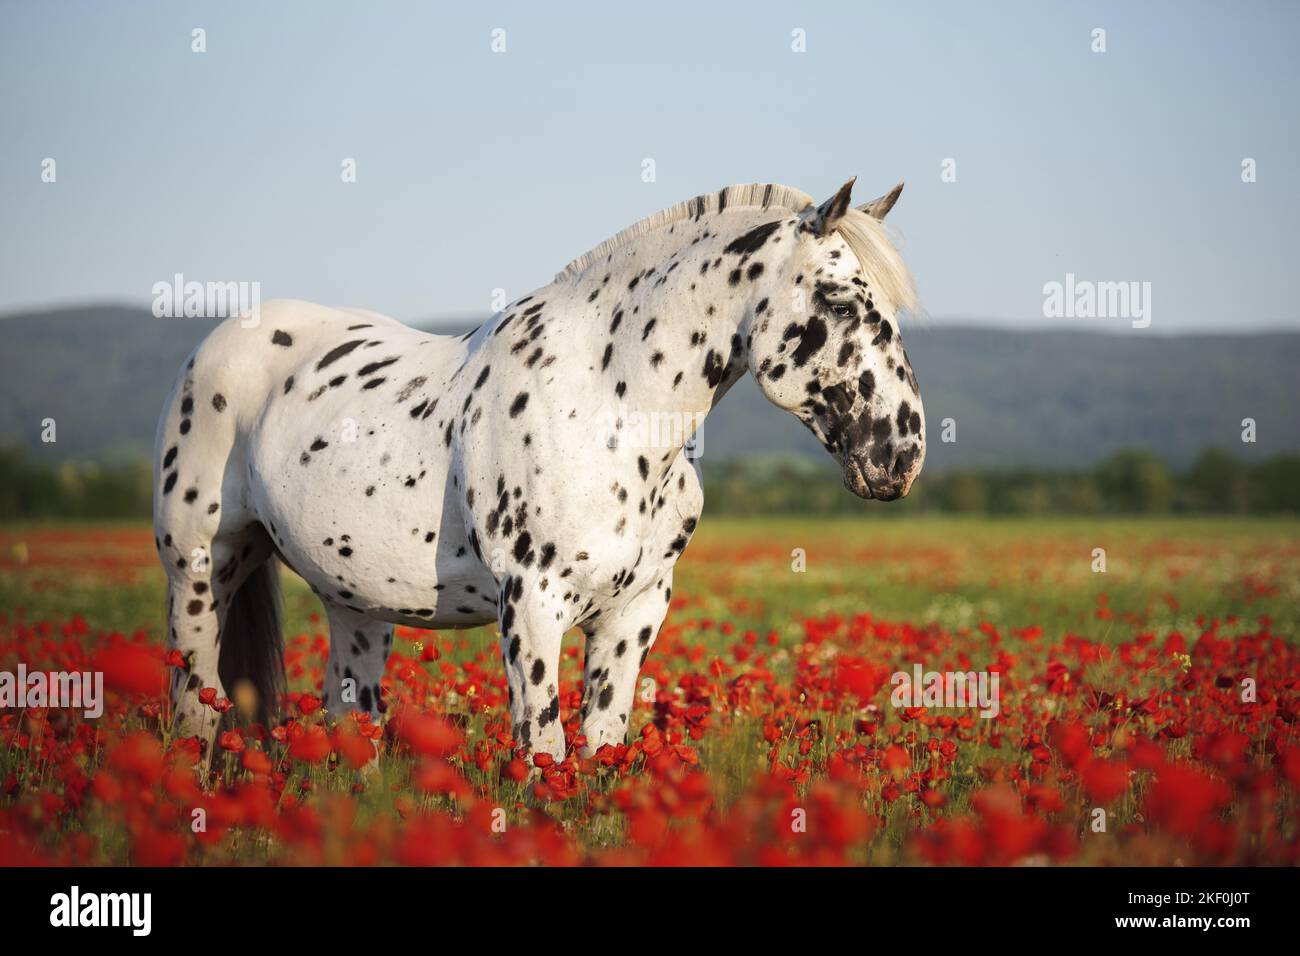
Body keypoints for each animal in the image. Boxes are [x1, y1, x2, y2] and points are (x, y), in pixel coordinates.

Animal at [152, 178, 925, 763]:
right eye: (838, 300)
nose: (902, 455)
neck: (611, 402)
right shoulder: (531, 603)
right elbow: (543, 750)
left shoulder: (634, 612)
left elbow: (600, 747)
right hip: (201, 574)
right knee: (196, 713)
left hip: (355, 604)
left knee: (351, 724)